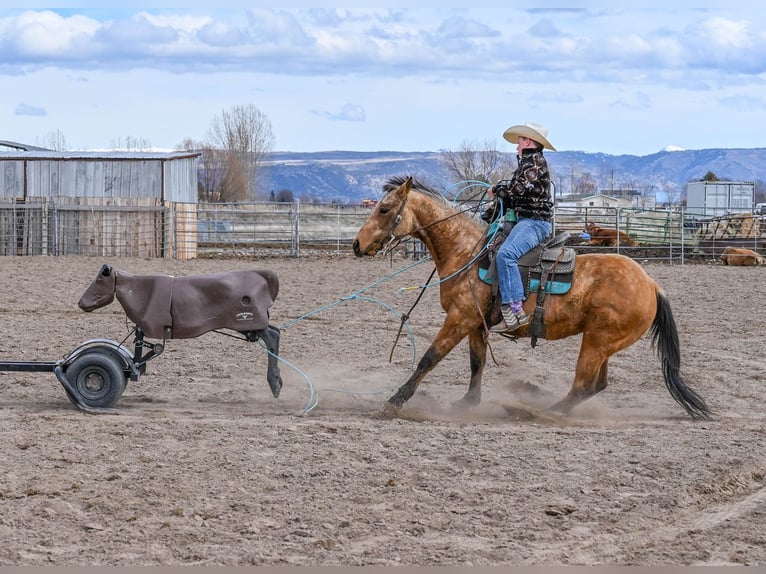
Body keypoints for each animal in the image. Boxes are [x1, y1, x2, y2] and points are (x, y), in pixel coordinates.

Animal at [78, 263, 283, 398]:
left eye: (99, 280)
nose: (80, 303)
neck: (139, 289)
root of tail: (262, 275)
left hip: (252, 322)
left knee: (273, 337)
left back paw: (275, 384)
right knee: (276, 332)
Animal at [352, 176, 710, 419]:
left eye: (384, 209)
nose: (356, 244)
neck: (468, 251)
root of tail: (651, 284)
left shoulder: (459, 318)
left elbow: (429, 358)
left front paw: (394, 401)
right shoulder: (476, 323)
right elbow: (477, 363)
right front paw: (468, 404)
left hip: (596, 341)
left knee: (582, 384)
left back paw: (540, 412)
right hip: (604, 342)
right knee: (596, 385)